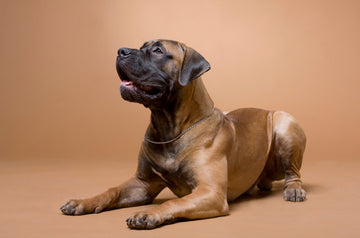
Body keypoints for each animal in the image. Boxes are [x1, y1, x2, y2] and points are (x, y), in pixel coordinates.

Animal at [59, 39, 306, 229]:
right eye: (141, 46)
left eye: (158, 51)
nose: (121, 51)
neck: (169, 128)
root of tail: (266, 109)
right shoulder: (142, 184)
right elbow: (112, 190)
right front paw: (84, 201)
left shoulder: (210, 192)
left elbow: (172, 203)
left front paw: (149, 213)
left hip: (285, 124)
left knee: (293, 173)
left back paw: (294, 190)